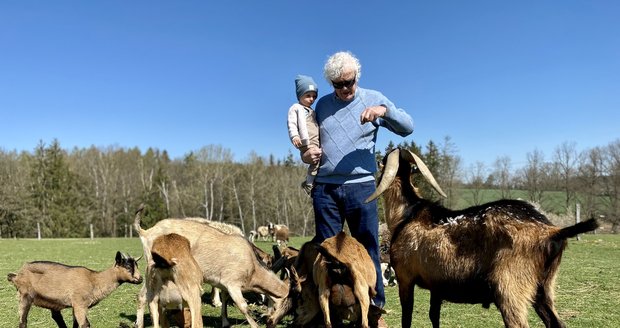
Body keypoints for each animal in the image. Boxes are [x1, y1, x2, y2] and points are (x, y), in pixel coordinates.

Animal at [6, 252, 142, 326]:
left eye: (136, 265)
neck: (94, 279)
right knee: (22, 321)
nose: (140, 279)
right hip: (24, 296)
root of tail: (18, 274)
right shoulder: (80, 305)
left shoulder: (75, 306)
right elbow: (85, 324)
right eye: (128, 267)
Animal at [133, 205, 288, 328]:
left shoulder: (223, 283)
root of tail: (146, 232)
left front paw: (225, 321)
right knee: (143, 296)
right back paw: (140, 323)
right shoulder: (232, 283)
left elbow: (225, 299)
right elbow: (243, 307)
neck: (252, 267)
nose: (269, 319)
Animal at [366, 148, 600, 328]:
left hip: (511, 289)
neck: (407, 213)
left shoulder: (405, 277)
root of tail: (550, 231)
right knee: (556, 323)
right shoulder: (436, 285)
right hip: (544, 288)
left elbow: (407, 317)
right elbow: (434, 317)